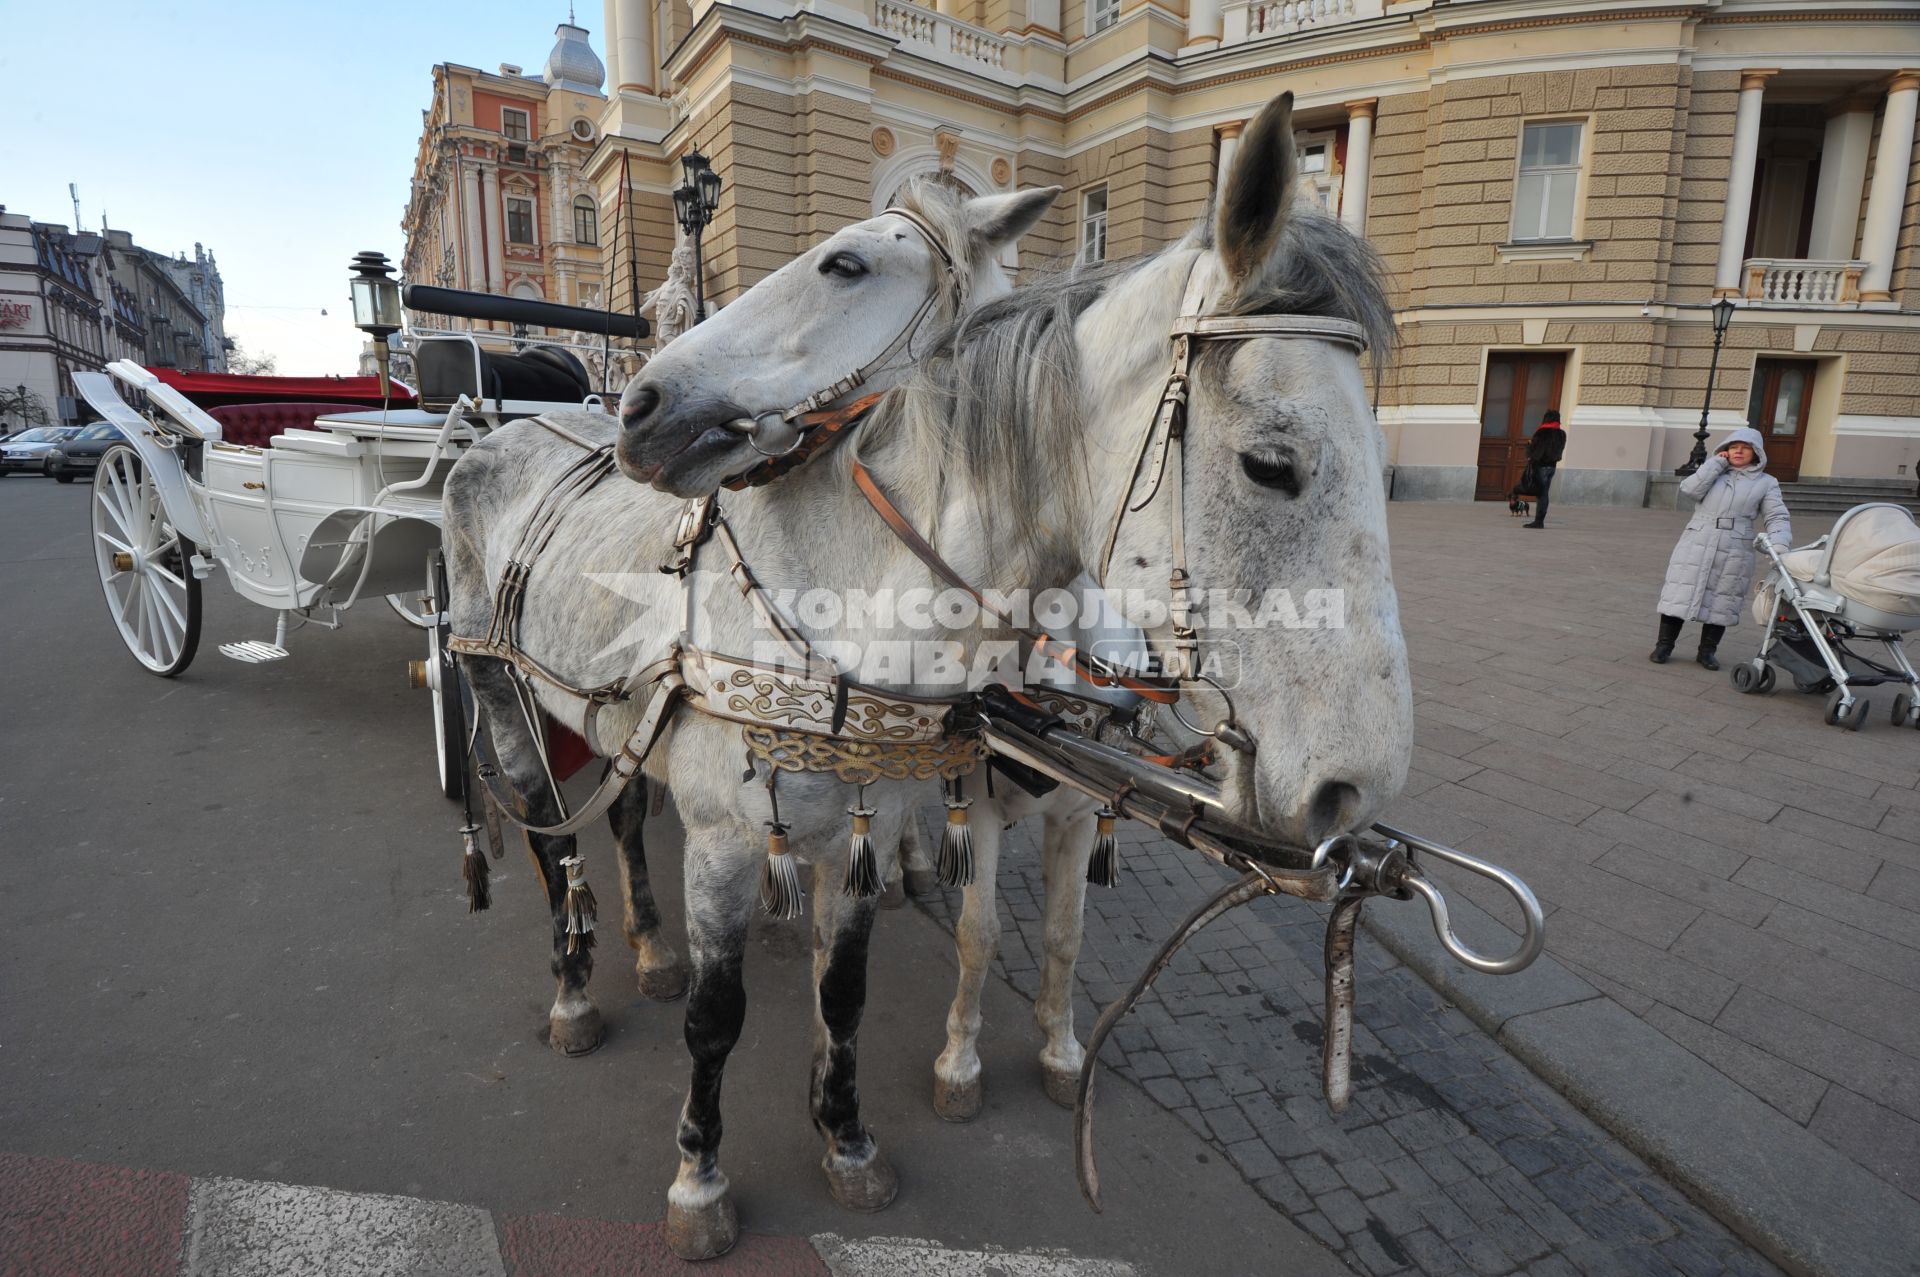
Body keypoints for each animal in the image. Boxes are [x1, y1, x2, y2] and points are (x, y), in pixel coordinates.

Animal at [449, 87, 1413, 1252]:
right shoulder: (730, 841)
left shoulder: (873, 823)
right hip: (500, 691)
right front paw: (701, 1180)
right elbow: (721, 1019)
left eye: (844, 265)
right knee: (550, 839)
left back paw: (644, 947)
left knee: (625, 816)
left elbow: (848, 992)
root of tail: (505, 430)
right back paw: (576, 991)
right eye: (1273, 463)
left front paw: (848, 1140)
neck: (838, 609)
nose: (640, 406)